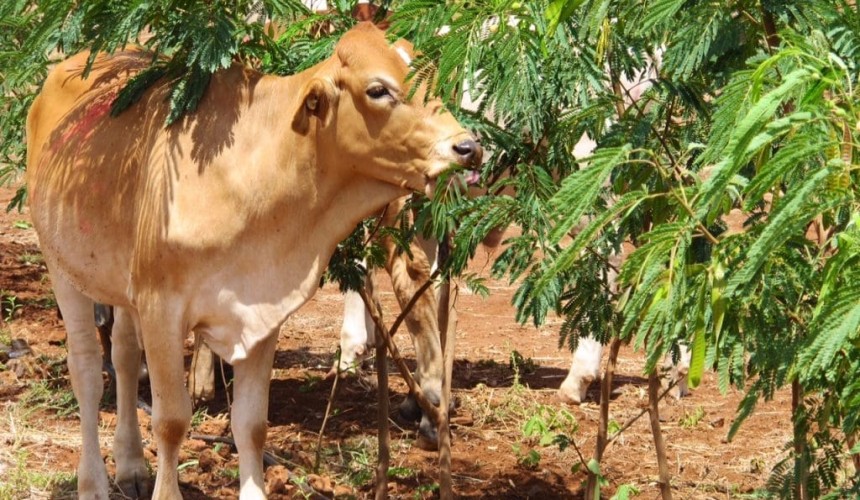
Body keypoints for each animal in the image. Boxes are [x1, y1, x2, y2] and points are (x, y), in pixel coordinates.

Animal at [26, 22, 481, 500]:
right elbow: (171, 422)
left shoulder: (262, 313)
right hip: (62, 266)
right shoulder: (161, 308)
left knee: (125, 357)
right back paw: (93, 482)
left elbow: (251, 426)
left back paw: (131, 466)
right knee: (87, 372)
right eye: (378, 89)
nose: (469, 147)